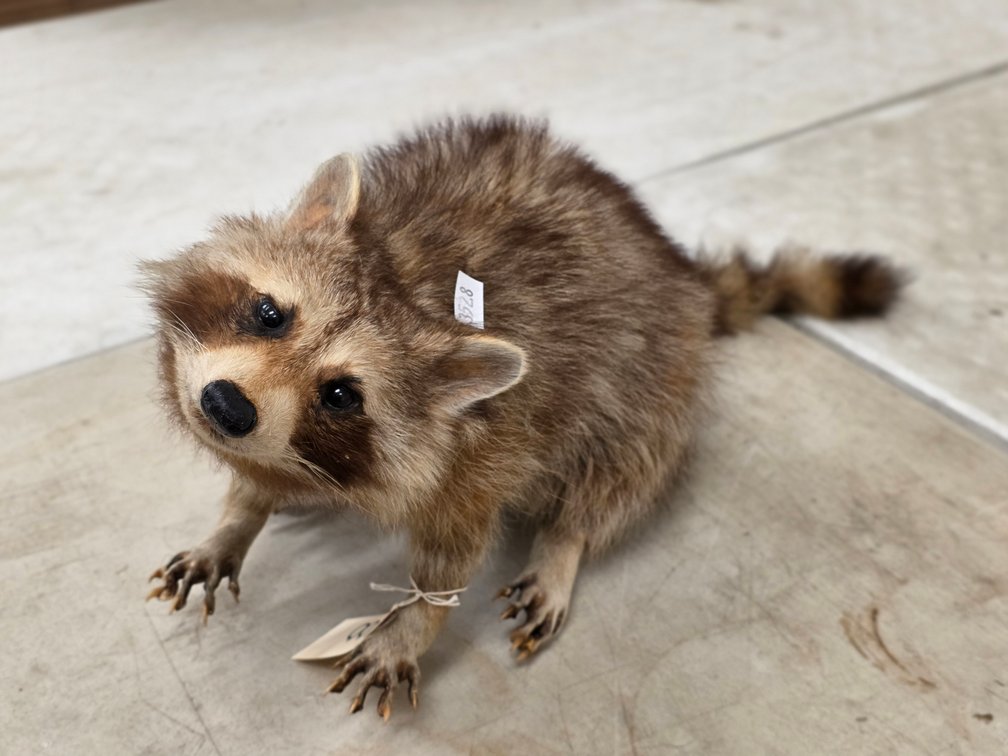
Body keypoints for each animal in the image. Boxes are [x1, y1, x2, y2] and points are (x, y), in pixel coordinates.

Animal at [143, 115, 901, 720]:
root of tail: (675, 262)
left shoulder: (483, 453)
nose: (226, 407)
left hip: (657, 378)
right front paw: (238, 517)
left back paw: (567, 537)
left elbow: (452, 559)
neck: (407, 280)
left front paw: (413, 621)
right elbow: (252, 485)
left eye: (340, 396)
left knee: (624, 463)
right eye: (270, 313)